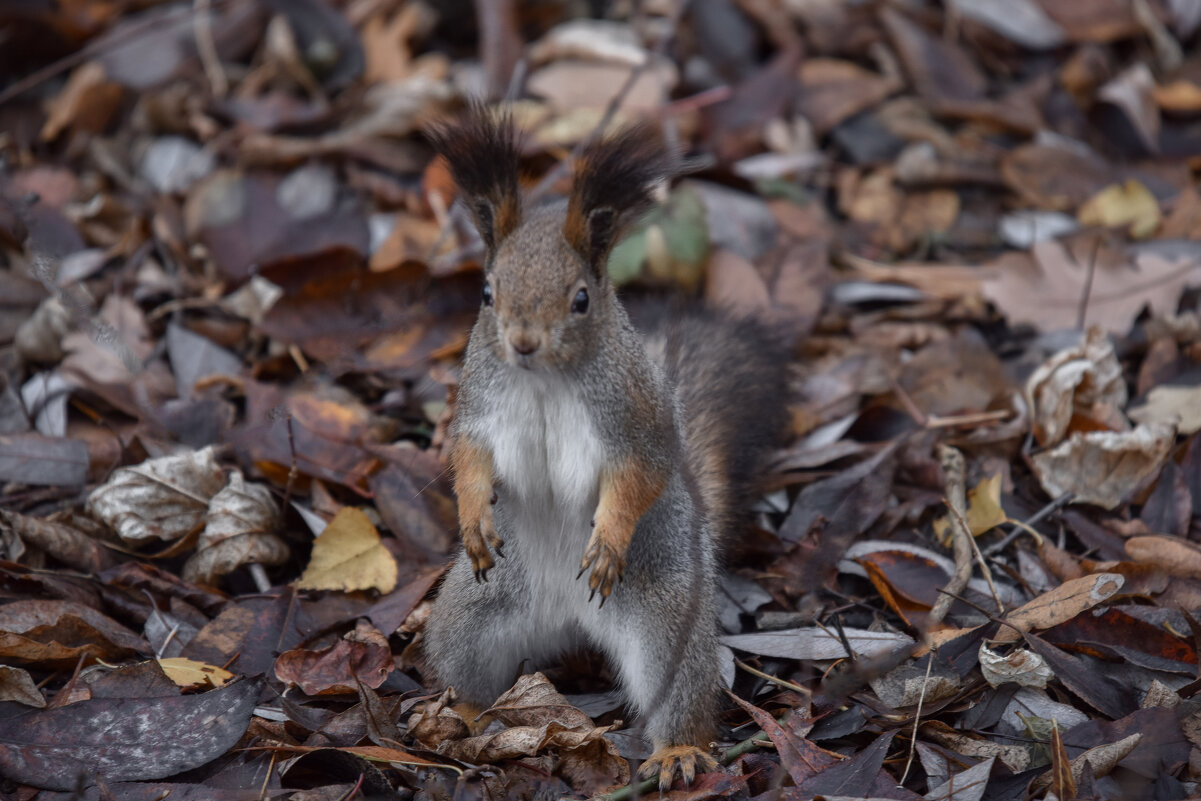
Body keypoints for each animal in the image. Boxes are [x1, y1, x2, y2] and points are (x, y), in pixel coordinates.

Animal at [422, 109, 787, 792]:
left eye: (581, 299)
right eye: (486, 293)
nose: (523, 342)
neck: (543, 379)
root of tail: (569, 619)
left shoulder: (634, 419)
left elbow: (637, 476)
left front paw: (608, 539)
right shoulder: (478, 406)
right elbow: (469, 459)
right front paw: (473, 519)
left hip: (666, 618)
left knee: (678, 689)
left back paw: (678, 751)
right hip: (472, 613)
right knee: (468, 666)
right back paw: (465, 713)